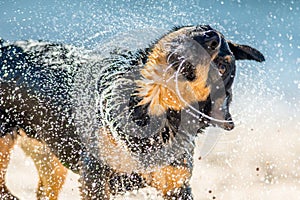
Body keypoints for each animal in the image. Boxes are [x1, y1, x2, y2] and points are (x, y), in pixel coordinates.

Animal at [0, 25, 264, 200]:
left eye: (222, 66)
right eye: (203, 27)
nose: (212, 37)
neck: (152, 110)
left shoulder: (176, 183)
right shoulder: (95, 175)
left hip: (49, 159)